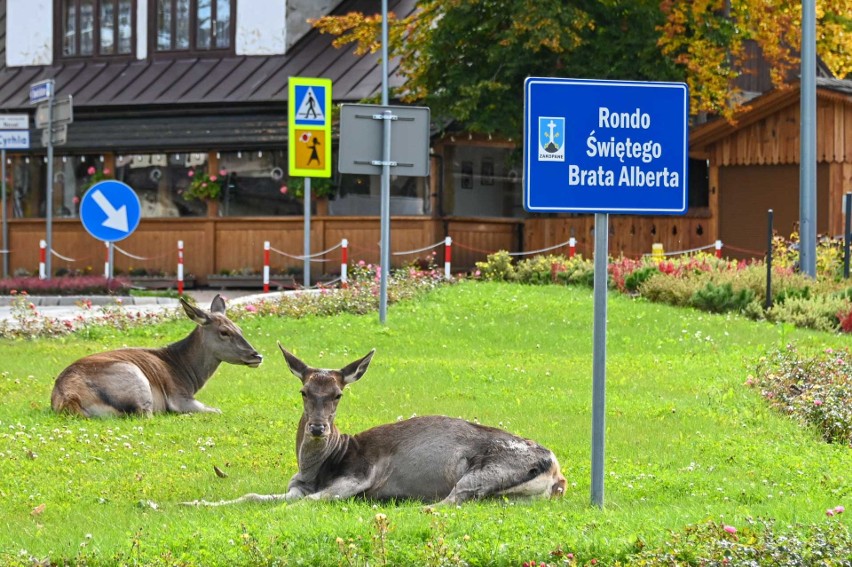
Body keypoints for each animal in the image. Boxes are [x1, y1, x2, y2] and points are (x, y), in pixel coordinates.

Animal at [50, 296, 262, 420]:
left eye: (240, 329)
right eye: (224, 331)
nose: (257, 355)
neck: (189, 374)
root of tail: (68, 399)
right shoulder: (179, 396)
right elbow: (216, 410)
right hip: (136, 379)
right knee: (146, 414)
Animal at [190, 344, 568, 508]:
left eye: (338, 394)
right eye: (303, 391)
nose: (317, 428)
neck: (319, 469)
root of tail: (557, 472)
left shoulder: (359, 475)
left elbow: (307, 502)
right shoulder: (297, 486)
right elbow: (252, 495)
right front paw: (191, 505)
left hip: (488, 469)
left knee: (453, 499)